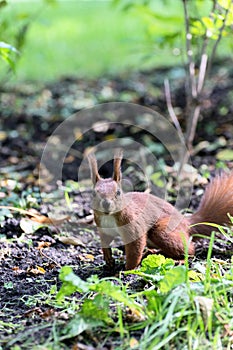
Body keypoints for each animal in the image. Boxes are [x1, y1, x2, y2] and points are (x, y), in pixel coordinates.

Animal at [88, 149, 233, 270]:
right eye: (94, 193)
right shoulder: (103, 227)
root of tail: (186, 224)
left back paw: (179, 260)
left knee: (190, 250)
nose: (106, 204)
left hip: (163, 232)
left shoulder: (133, 225)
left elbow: (135, 249)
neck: (109, 216)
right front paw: (108, 259)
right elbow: (105, 241)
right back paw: (151, 252)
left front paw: (127, 270)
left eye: (118, 192)